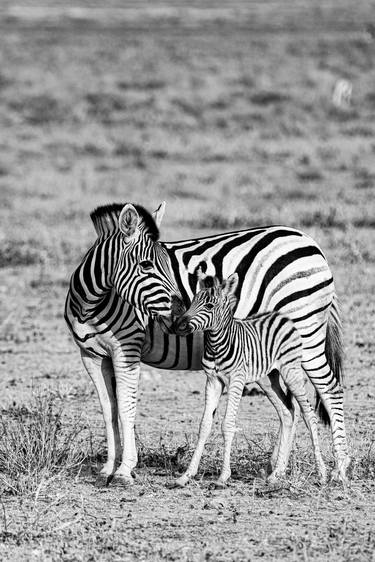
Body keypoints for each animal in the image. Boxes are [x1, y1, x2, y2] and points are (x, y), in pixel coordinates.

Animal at [175, 270, 328, 484]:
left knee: (309, 415)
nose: (178, 325)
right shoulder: (212, 381)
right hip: (268, 380)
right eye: (192, 302)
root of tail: (282, 316)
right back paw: (276, 474)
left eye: (209, 306)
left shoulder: (236, 380)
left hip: (291, 372)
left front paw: (223, 476)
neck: (216, 345)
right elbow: (204, 425)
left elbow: (227, 424)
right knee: (287, 413)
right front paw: (187, 475)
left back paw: (321, 473)